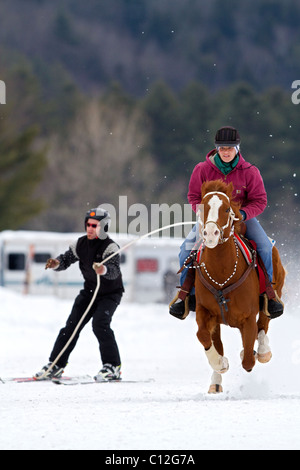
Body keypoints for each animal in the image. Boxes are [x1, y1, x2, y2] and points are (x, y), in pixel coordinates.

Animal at [195, 180, 286, 392]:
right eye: (202, 207)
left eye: (227, 208)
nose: (211, 234)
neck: (222, 273)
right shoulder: (204, 311)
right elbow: (203, 335)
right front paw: (220, 363)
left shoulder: (248, 316)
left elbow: (248, 360)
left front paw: (252, 352)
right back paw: (216, 381)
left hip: (272, 296)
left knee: (264, 323)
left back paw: (263, 351)